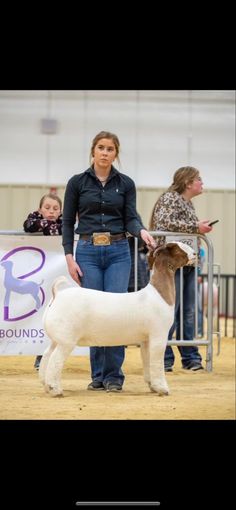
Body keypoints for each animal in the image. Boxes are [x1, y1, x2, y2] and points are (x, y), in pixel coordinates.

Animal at [40, 241, 195, 396]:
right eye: (177, 249)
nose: (194, 254)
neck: (158, 294)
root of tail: (58, 293)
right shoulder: (159, 335)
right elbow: (157, 362)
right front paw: (162, 388)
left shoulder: (146, 340)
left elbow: (147, 360)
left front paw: (152, 386)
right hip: (66, 340)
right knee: (55, 360)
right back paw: (55, 389)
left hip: (57, 338)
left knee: (46, 355)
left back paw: (46, 385)